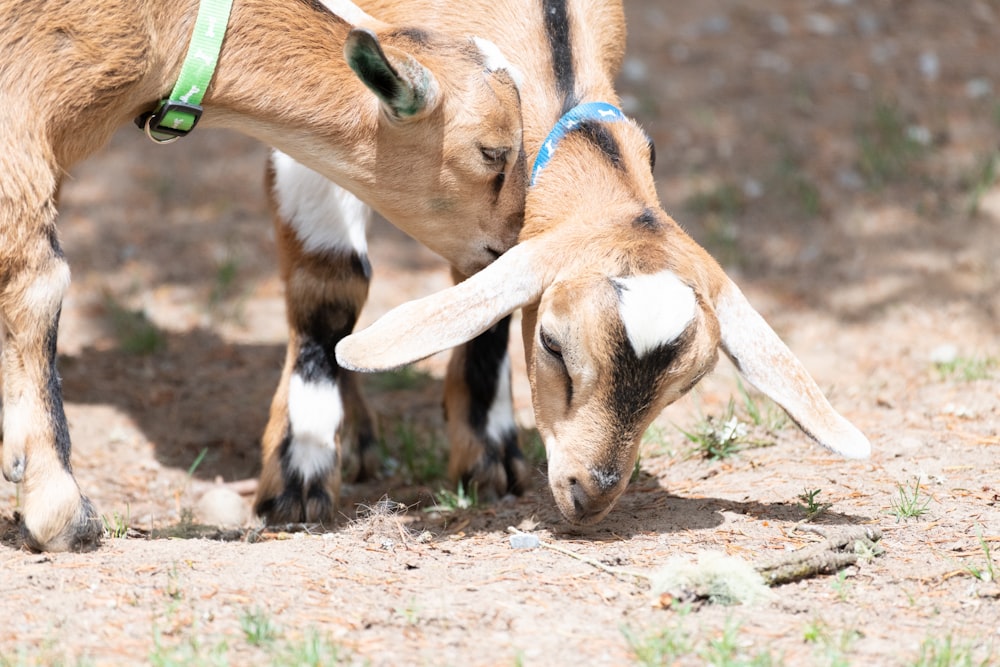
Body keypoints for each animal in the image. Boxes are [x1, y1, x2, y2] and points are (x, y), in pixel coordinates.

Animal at [264, 0, 868, 528]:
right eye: (553, 345)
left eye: (692, 382)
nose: (589, 494)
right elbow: (331, 284)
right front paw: (298, 481)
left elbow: (485, 292)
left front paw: (485, 453)